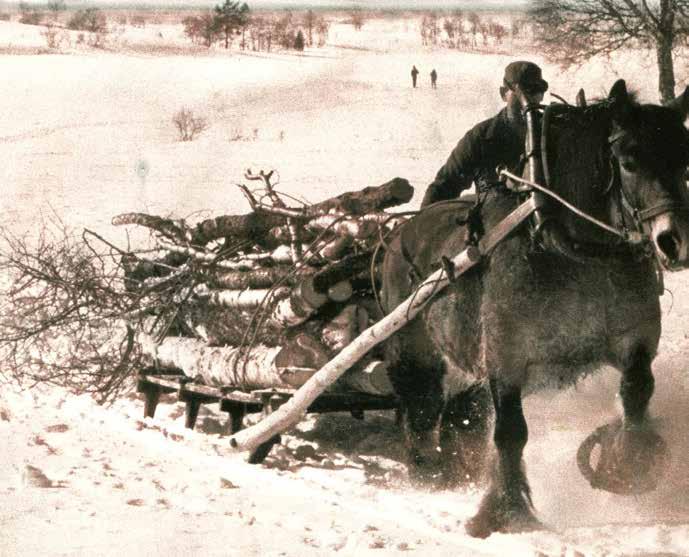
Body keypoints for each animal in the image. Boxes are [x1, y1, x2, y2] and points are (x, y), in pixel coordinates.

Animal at [378, 80, 688, 536]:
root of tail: (400, 232)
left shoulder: (634, 342)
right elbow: (510, 433)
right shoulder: (505, 357)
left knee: (454, 412)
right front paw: (504, 510)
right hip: (414, 349)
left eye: (684, 161)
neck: (570, 249)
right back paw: (426, 470)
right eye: (629, 161)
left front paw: (625, 467)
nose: (674, 241)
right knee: (420, 405)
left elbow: (636, 395)